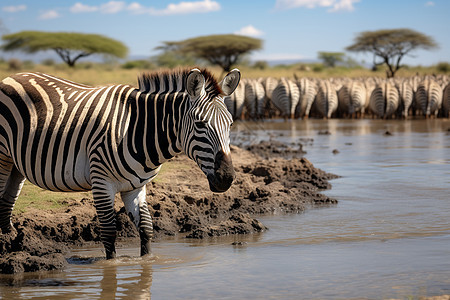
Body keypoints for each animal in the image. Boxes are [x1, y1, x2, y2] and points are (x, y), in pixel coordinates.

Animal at [0, 67, 241, 258]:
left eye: (230, 123)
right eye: (200, 124)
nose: (226, 178)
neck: (137, 130)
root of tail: (12, 76)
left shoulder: (136, 186)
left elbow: (146, 228)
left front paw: (147, 263)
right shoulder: (101, 183)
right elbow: (109, 233)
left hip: (16, 163)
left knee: (6, 204)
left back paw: (16, 249)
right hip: (2, 156)